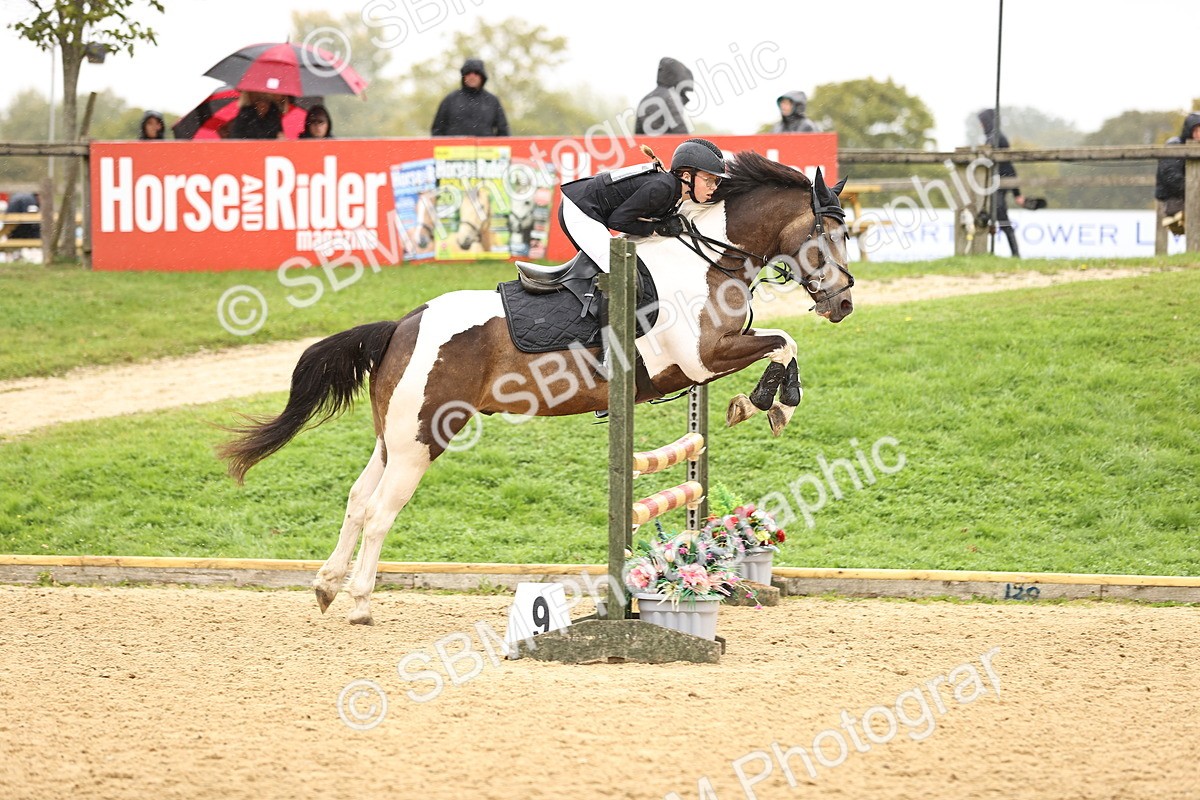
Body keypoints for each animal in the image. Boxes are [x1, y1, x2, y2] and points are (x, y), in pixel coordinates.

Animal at [217, 150, 854, 625]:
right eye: (827, 235)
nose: (844, 303)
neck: (706, 261)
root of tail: (403, 322)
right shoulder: (701, 359)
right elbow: (783, 341)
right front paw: (770, 402)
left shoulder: (710, 359)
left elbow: (782, 341)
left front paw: (761, 402)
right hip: (423, 438)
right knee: (378, 512)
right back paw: (359, 604)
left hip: (394, 435)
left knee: (355, 500)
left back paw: (327, 586)